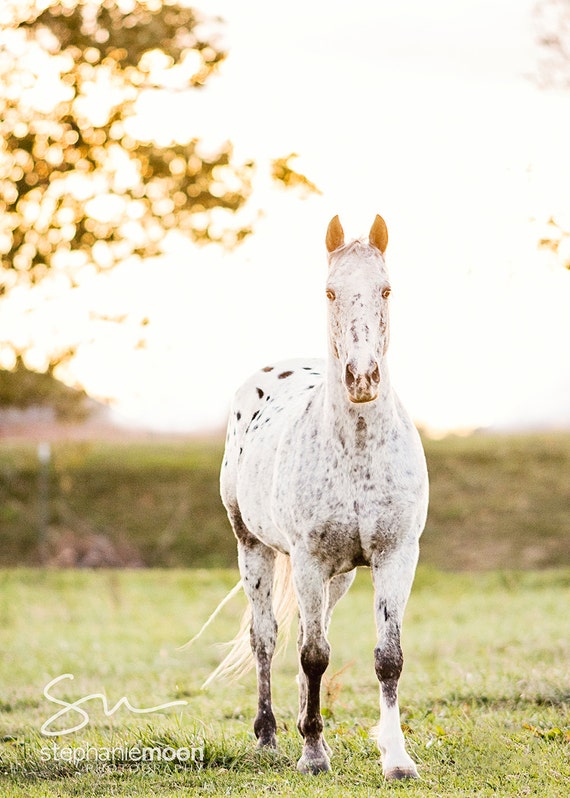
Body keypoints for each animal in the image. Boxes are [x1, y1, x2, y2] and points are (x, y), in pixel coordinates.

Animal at [200, 212, 426, 780]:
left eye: (386, 289)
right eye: (329, 291)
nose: (362, 378)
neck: (358, 451)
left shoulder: (396, 556)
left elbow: (386, 657)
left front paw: (397, 759)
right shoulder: (306, 559)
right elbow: (311, 655)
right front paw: (313, 755)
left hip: (337, 576)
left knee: (310, 629)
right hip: (254, 550)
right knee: (268, 638)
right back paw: (269, 736)